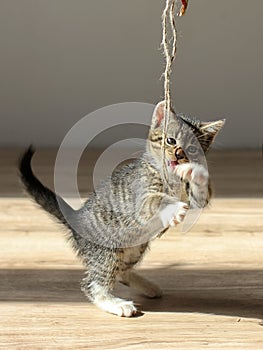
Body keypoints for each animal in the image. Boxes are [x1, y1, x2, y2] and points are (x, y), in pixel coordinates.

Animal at [19, 100, 225, 318]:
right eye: (170, 140)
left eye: (192, 148)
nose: (179, 155)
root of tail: (76, 219)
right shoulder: (141, 198)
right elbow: (155, 200)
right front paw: (174, 208)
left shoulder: (197, 200)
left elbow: (201, 195)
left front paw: (195, 171)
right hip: (107, 250)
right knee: (92, 284)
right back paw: (116, 304)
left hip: (135, 248)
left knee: (121, 273)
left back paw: (148, 286)